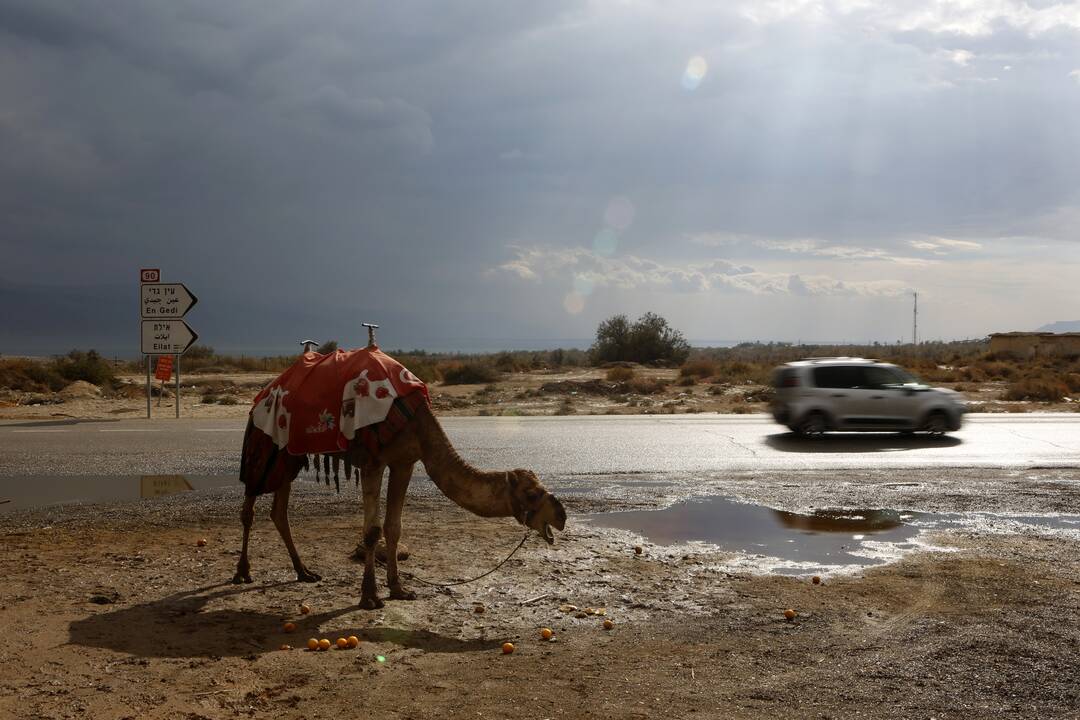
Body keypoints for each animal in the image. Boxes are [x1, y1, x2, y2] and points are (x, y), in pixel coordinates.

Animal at [233, 375, 570, 613]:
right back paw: (242, 573)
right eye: (532, 493)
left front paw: (399, 589)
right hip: (263, 441)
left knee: (279, 511)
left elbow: (393, 527)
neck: (418, 425)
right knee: (249, 506)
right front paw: (369, 597)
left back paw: (304, 572)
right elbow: (372, 530)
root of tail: (263, 395)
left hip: (289, 455)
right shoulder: (373, 461)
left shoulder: (404, 462)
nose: (562, 516)